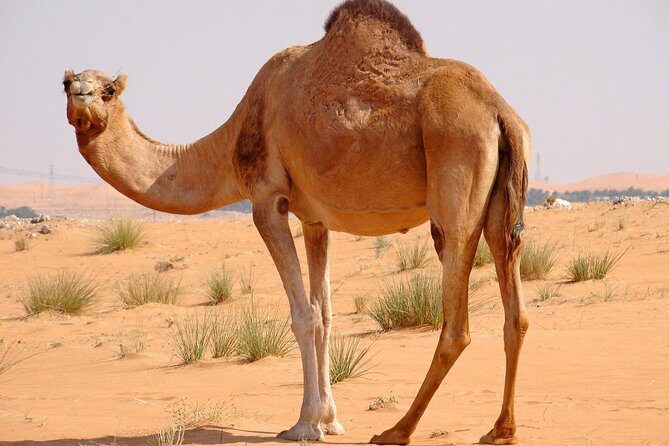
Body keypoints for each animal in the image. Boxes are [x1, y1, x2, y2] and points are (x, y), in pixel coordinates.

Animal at [63, 0, 530, 443]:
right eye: (66, 84)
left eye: (108, 90)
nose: (81, 96)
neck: (231, 141)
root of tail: (500, 112)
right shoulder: (315, 219)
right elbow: (325, 314)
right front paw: (331, 420)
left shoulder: (267, 199)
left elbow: (303, 314)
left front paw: (305, 425)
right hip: (500, 204)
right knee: (516, 312)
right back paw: (500, 429)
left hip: (455, 178)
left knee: (456, 323)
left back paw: (397, 431)